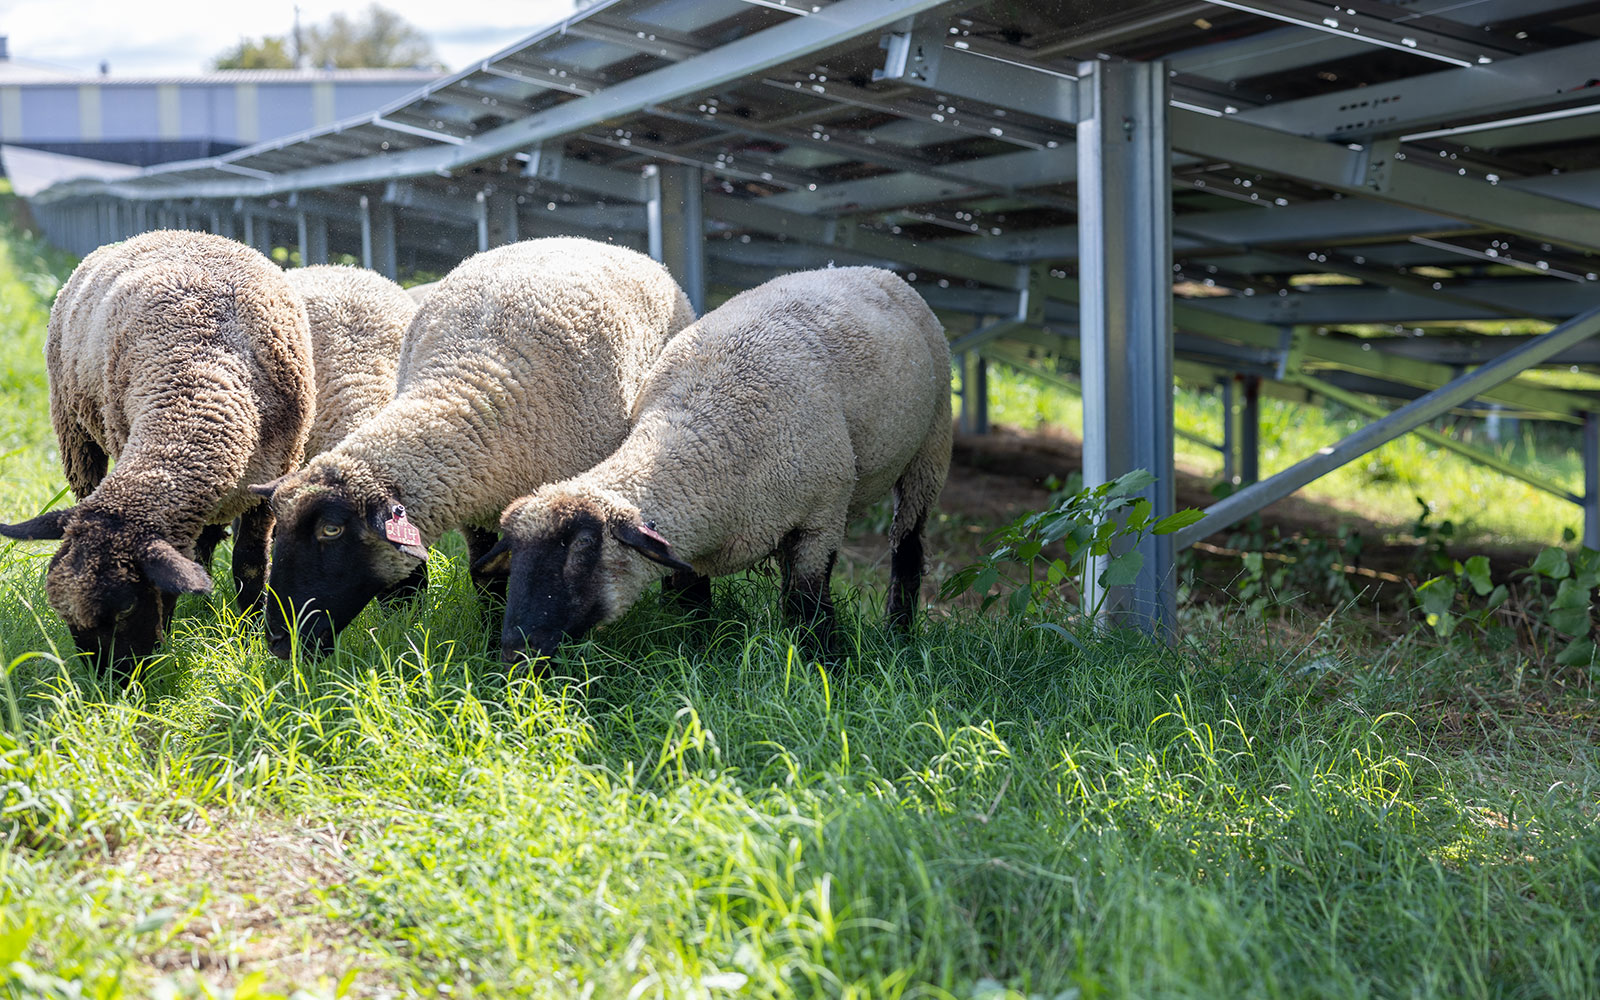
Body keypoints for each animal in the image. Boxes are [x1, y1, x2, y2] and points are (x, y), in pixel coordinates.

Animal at [0, 230, 315, 675]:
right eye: (62, 615)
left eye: (126, 608)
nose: (108, 685)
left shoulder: (270, 481)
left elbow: (250, 564)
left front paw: (250, 631)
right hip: (75, 432)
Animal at [251, 233, 694, 656]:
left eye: (331, 530)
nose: (278, 641)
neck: (469, 388)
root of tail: (598, 243)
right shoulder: (478, 510)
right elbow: (485, 577)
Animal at [473, 268, 947, 665]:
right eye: (513, 554)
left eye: (584, 548)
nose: (515, 653)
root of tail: (868, 270)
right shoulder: (692, 544)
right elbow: (692, 606)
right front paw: (696, 651)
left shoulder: (820, 519)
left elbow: (808, 606)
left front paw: (822, 664)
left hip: (929, 451)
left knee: (907, 549)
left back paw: (900, 631)